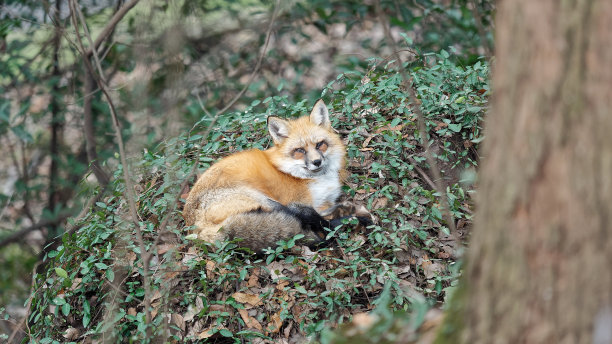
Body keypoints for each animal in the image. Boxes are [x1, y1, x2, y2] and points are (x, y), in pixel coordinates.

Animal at [182, 99, 356, 253]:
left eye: (320, 144)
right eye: (300, 150)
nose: (317, 162)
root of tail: (195, 230)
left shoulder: (325, 202)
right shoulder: (298, 202)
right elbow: (317, 216)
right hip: (268, 201)